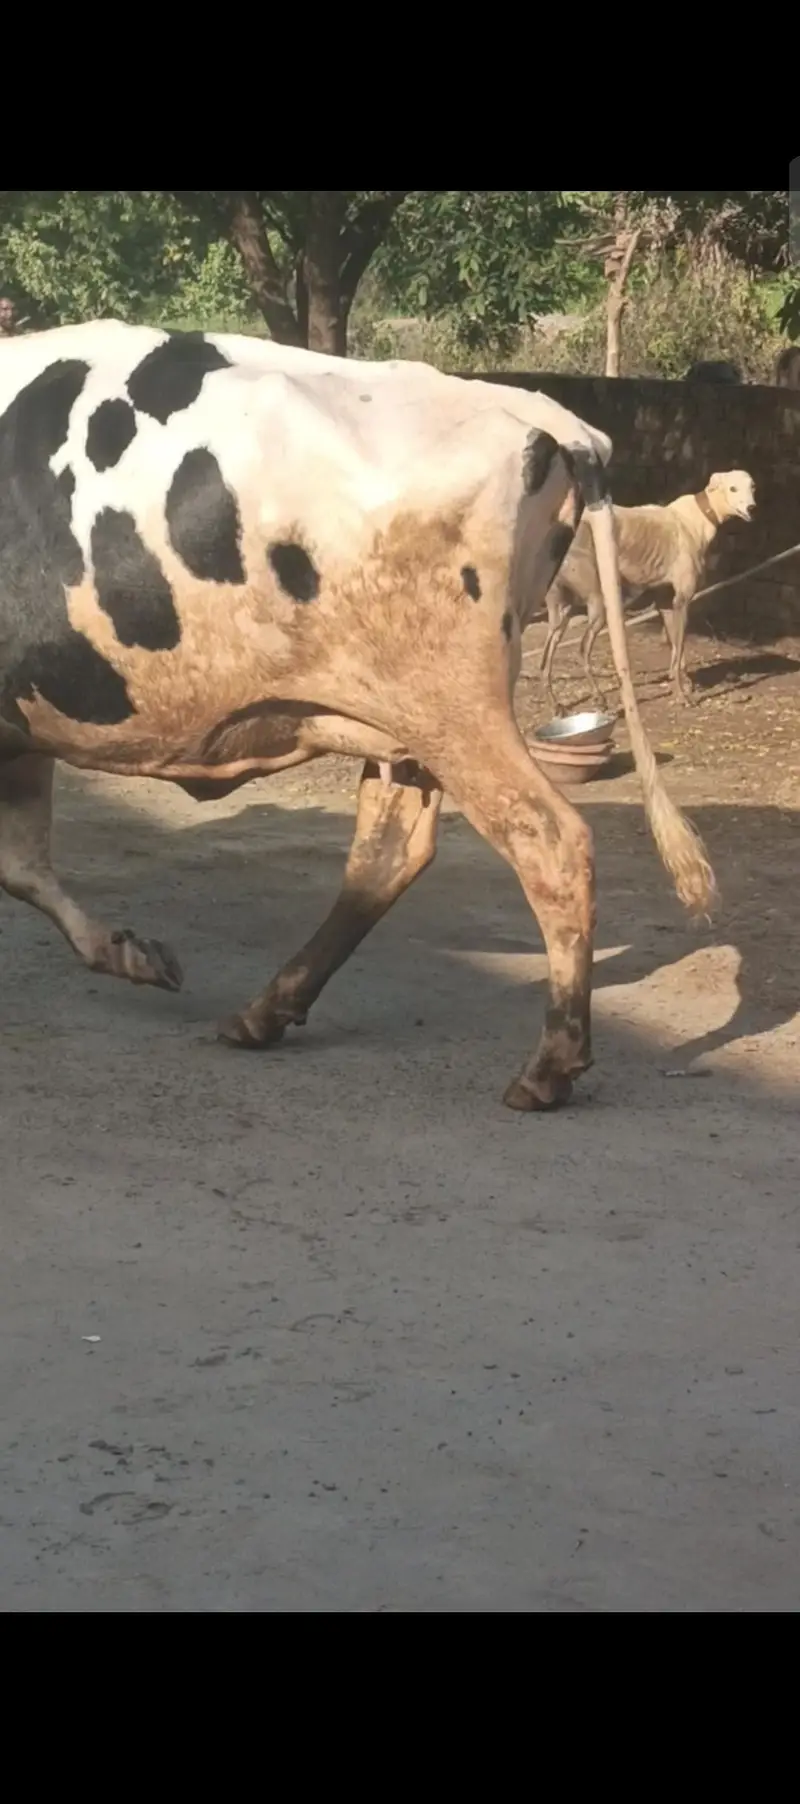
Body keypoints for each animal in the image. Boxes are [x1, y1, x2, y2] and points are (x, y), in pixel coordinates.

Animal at [0, 321, 715, 1111]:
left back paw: (550, 1066)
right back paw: (266, 1012)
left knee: (548, 840)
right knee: (389, 851)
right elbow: (22, 864)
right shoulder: (22, 727)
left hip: (452, 707)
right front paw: (130, 952)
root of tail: (544, 415)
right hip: (404, 720)